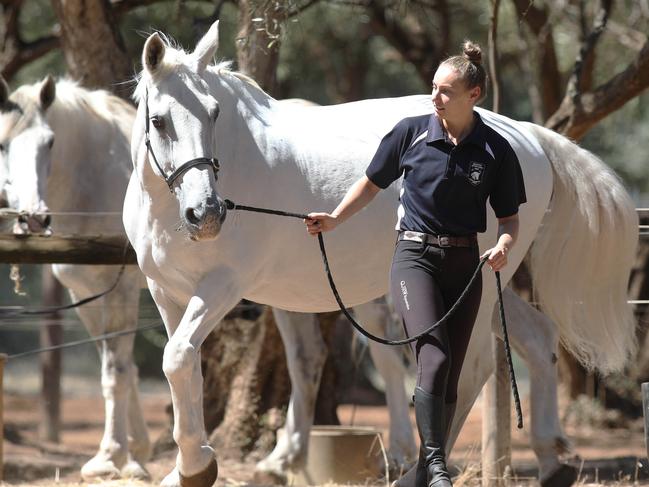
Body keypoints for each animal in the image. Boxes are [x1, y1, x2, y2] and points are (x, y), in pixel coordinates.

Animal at [0, 76, 151, 480]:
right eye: (2, 143)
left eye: (50, 141)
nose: (35, 218)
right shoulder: (85, 294)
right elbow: (120, 367)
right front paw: (134, 454)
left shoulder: (122, 288)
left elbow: (116, 370)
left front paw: (113, 457)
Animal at [125, 23, 632, 487]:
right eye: (160, 121)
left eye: (214, 114)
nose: (207, 214)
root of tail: (526, 135)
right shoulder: (166, 292)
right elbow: (186, 367)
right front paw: (187, 468)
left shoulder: (222, 286)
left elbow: (177, 358)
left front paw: (197, 467)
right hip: (490, 281)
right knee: (537, 339)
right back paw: (549, 461)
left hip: (480, 288)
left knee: (471, 370)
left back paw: (422, 468)